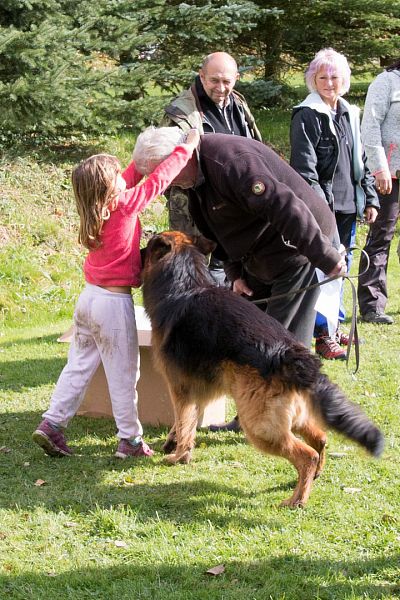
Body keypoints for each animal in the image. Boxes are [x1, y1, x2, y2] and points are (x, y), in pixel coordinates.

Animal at [142, 231, 382, 506]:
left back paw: (297, 500)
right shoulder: (197, 388)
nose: (138, 251)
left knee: (306, 455)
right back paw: (314, 478)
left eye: (149, 246)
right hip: (291, 417)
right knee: (320, 439)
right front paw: (176, 445)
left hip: (260, 427)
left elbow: (183, 420)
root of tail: (291, 354)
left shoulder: (180, 388)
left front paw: (178, 455)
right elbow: (187, 423)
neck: (184, 285)